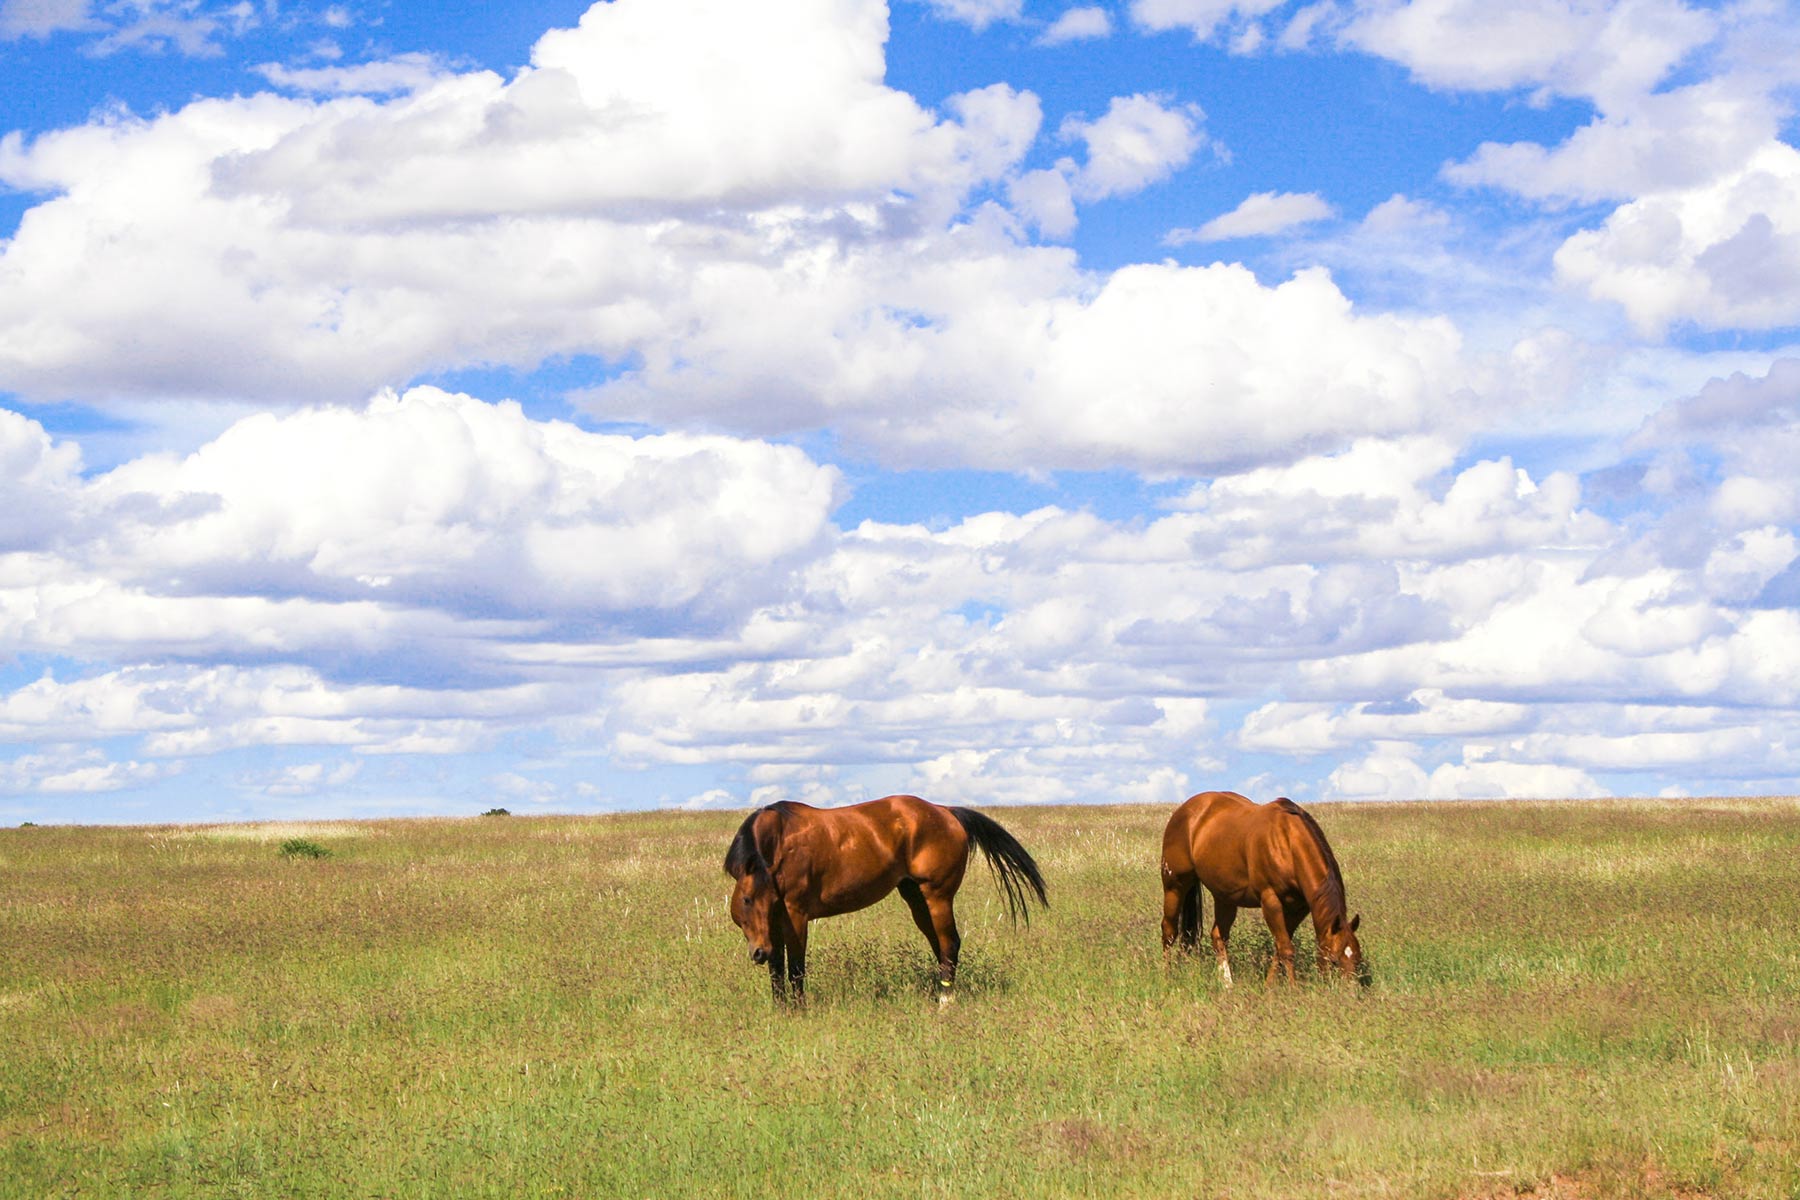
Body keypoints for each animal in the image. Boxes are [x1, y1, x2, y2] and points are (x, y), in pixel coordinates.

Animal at [723, 794, 1047, 1005]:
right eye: (744, 904)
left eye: (750, 899)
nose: (757, 953)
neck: (780, 843)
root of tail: (946, 811)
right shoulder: (776, 920)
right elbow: (777, 969)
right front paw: (782, 1010)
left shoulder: (796, 914)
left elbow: (795, 969)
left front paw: (800, 1010)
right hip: (915, 897)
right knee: (939, 946)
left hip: (938, 895)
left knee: (950, 943)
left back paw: (945, 1001)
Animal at [1160, 790, 1368, 987]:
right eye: (1334, 961)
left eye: (1357, 960)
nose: (1347, 993)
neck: (1287, 843)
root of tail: (1185, 811)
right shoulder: (1270, 901)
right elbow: (1286, 949)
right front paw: (1293, 989)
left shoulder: (1298, 908)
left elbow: (1280, 947)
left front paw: (1269, 987)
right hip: (1174, 886)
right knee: (1169, 931)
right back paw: (1167, 975)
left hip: (1225, 896)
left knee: (1218, 937)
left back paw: (1227, 984)